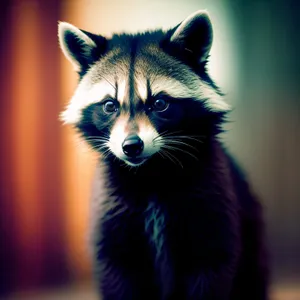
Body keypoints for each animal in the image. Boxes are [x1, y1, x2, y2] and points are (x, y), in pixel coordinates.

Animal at [57, 9, 268, 300]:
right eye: (110, 106)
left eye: (159, 103)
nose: (131, 146)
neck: (151, 171)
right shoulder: (111, 215)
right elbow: (117, 273)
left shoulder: (212, 204)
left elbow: (212, 270)